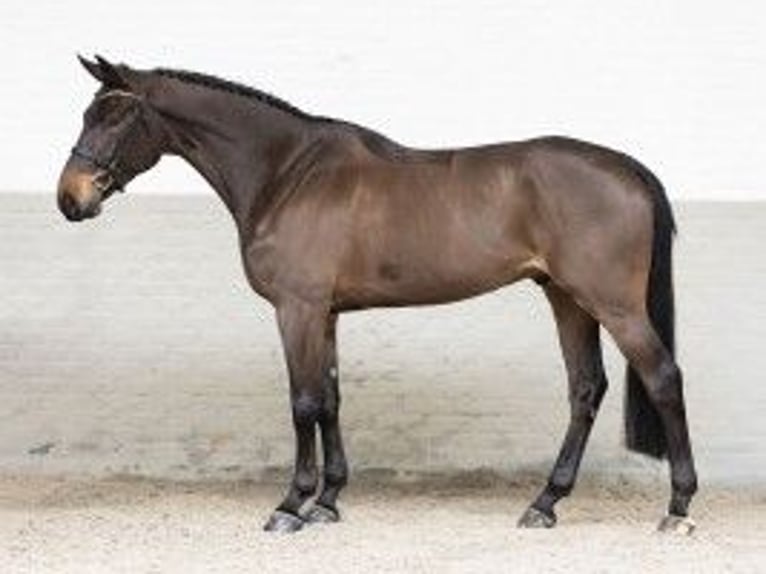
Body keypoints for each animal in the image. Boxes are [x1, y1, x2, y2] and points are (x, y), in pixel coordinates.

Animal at [57, 55, 700, 536]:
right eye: (89, 112)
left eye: (116, 116)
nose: (71, 197)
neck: (287, 173)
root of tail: (628, 169)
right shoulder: (326, 315)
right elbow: (331, 400)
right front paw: (327, 502)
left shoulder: (298, 309)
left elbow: (302, 403)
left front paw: (290, 506)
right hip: (567, 299)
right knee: (585, 388)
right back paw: (544, 504)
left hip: (612, 304)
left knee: (664, 377)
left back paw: (677, 508)